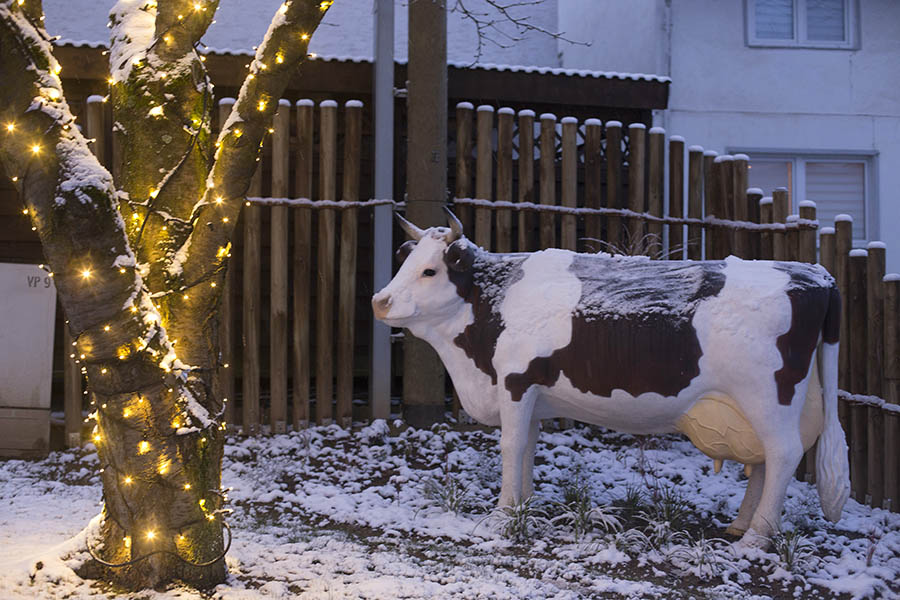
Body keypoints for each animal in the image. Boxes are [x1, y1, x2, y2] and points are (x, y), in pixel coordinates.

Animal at [372, 210, 852, 544]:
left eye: (430, 270)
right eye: (406, 263)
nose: (380, 301)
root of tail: (816, 275)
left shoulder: (516, 381)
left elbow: (510, 445)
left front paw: (502, 516)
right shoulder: (533, 394)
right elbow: (528, 446)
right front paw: (525, 505)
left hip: (768, 395)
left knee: (783, 454)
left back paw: (755, 538)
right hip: (756, 406)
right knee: (763, 461)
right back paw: (739, 524)